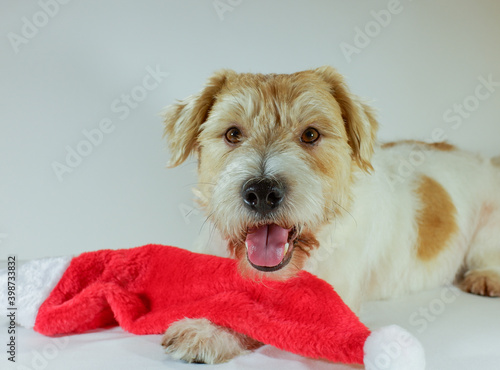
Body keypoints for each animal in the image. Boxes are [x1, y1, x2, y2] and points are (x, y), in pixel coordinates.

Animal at [159, 66, 500, 364]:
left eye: (310, 135)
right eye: (232, 134)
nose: (262, 192)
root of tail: (485, 160)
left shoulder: (324, 307)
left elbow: (254, 316)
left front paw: (209, 330)